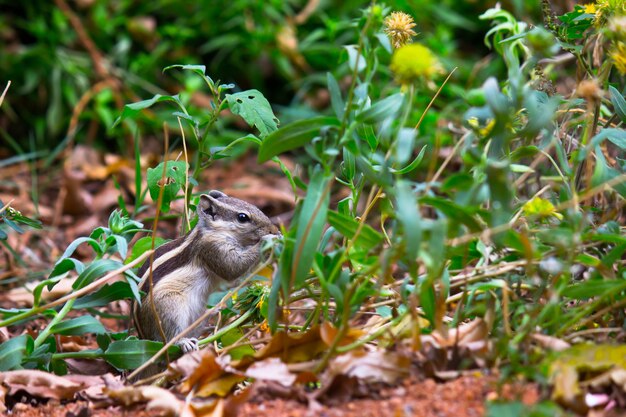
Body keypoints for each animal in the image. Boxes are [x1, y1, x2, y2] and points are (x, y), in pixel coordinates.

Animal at [132, 190, 278, 352]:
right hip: (168, 307)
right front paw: (269, 240)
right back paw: (183, 341)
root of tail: (143, 336)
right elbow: (232, 268)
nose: (274, 229)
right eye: (242, 217)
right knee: (168, 339)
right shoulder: (212, 248)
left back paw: (210, 319)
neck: (211, 231)